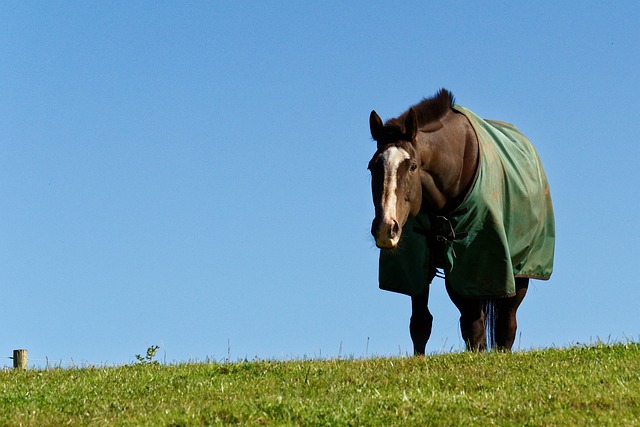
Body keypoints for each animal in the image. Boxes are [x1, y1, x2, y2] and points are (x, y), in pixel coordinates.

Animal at [368, 88, 552, 352]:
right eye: (372, 167)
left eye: (412, 166)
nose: (385, 228)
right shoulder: (418, 266)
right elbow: (421, 323)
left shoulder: (474, 266)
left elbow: (474, 327)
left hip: (520, 272)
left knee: (506, 324)